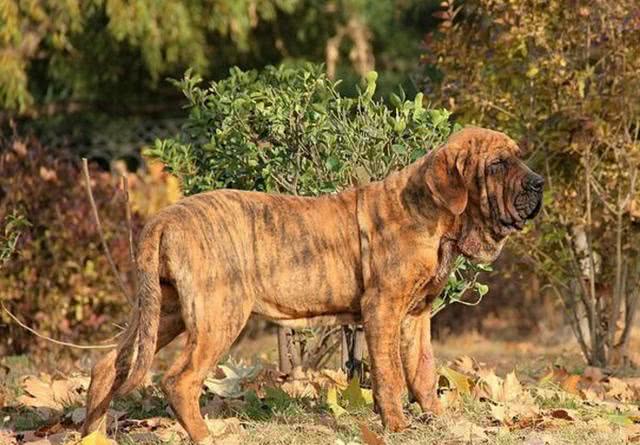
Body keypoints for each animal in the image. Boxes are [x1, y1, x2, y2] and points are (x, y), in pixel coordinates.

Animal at [81, 126, 544, 442]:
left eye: (518, 158)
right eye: (497, 164)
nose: (539, 182)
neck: (436, 217)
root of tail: (164, 218)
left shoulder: (416, 316)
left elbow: (422, 370)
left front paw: (438, 420)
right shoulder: (383, 309)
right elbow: (391, 375)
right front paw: (396, 425)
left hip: (165, 312)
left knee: (109, 365)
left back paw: (92, 434)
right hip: (218, 315)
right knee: (180, 380)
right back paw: (206, 436)